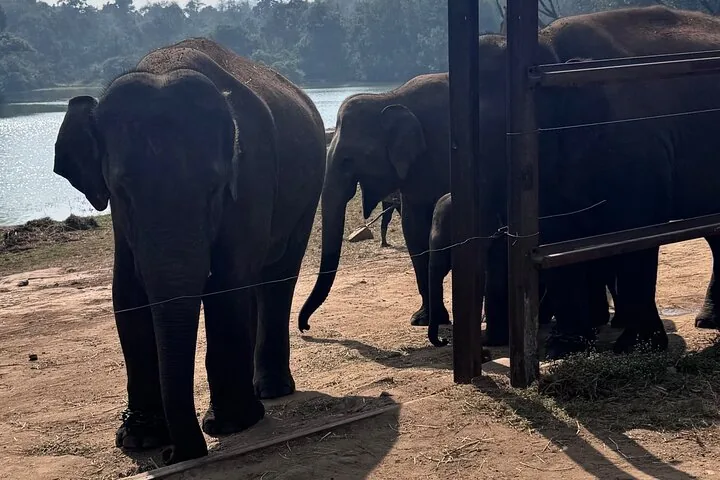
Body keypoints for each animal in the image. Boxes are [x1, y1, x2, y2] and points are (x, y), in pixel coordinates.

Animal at [52, 38, 325, 464]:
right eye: (122, 190)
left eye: (215, 188)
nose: (173, 455)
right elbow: (126, 292)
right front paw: (139, 439)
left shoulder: (253, 179)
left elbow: (226, 284)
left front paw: (231, 425)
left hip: (307, 196)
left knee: (275, 277)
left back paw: (270, 392)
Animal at [473, 5, 720, 359]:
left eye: (501, 140)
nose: (485, 351)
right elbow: (555, 235)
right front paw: (563, 347)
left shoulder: (636, 143)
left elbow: (635, 231)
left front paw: (636, 347)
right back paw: (709, 321)